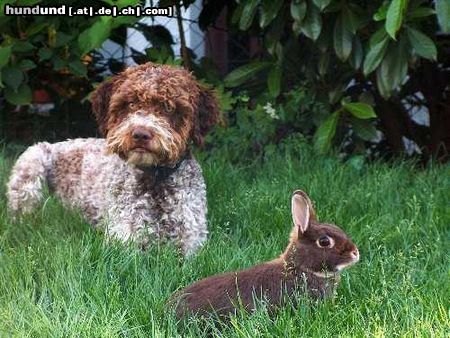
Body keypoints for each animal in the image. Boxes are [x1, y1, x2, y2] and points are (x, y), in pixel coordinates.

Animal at [5, 62, 220, 255]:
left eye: (168, 107)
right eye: (131, 103)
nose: (140, 134)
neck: (155, 178)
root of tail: (58, 144)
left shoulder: (191, 241)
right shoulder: (125, 240)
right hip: (32, 161)